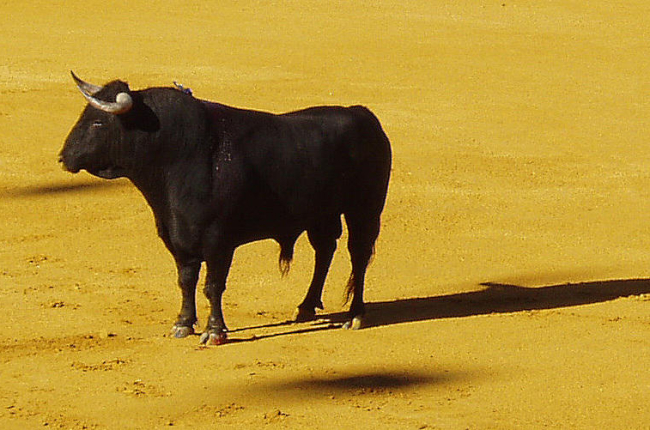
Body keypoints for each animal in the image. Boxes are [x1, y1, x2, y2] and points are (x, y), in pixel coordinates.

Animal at [59, 72, 390, 344]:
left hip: (365, 210)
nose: (64, 157)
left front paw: (214, 331)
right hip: (321, 214)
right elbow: (186, 280)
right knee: (324, 250)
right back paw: (306, 307)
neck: (178, 156)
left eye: (98, 122)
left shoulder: (218, 241)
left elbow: (213, 285)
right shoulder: (178, 240)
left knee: (358, 254)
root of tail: (363, 114)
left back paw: (355, 315)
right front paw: (183, 324)